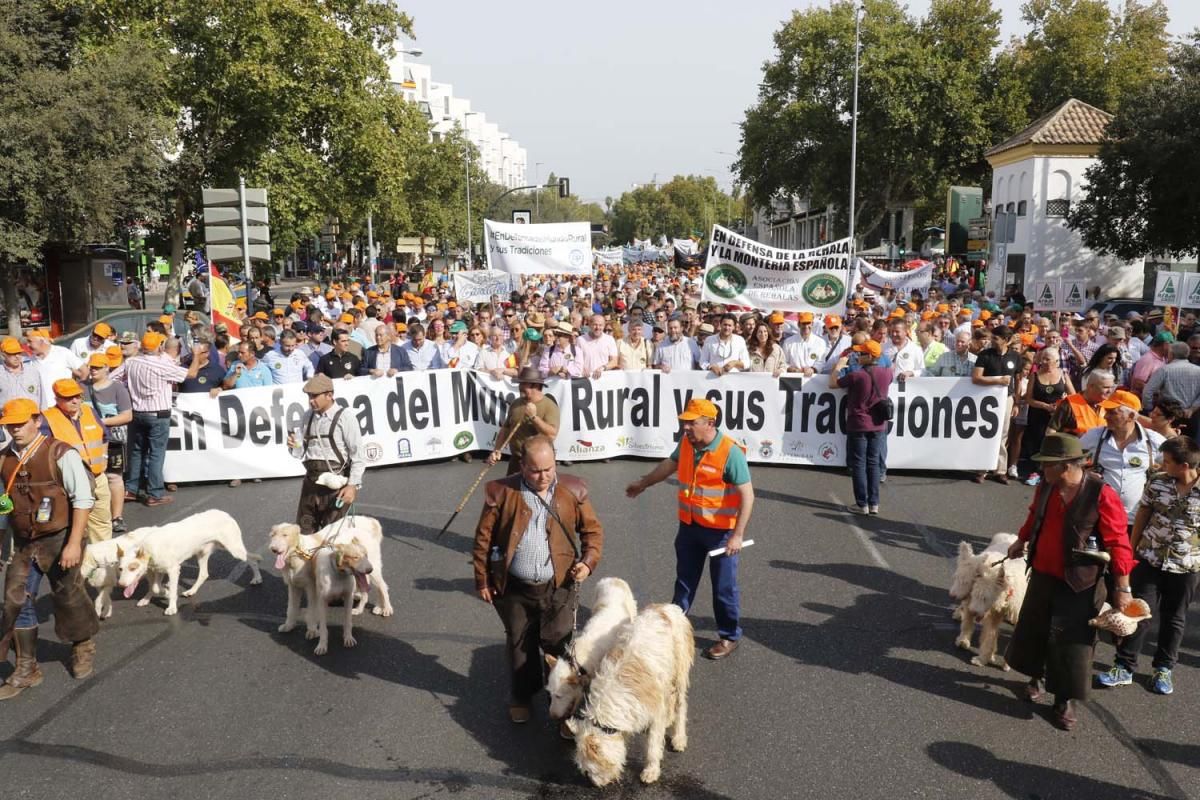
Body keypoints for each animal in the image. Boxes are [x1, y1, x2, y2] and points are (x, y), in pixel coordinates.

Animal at [117, 510, 262, 618]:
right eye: (120, 569)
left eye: (133, 568)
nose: (121, 585)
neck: (148, 547)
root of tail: (225, 514)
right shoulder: (157, 570)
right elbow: (155, 587)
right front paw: (162, 593)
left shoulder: (173, 570)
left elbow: (169, 589)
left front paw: (171, 605)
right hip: (202, 554)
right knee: (204, 574)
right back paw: (191, 591)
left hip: (234, 549)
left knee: (252, 559)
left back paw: (257, 578)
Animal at [571, 604, 696, 786]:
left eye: (589, 770)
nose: (594, 784)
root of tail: (668, 607)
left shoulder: (655, 711)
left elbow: (652, 746)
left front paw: (651, 771)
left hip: (679, 671)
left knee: (681, 704)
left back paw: (679, 737)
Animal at [950, 532, 1027, 671]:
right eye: (957, 578)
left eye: (985, 598)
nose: (952, 595)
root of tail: (1010, 535)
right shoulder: (980, 607)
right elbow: (981, 631)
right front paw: (979, 655)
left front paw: (1006, 663)